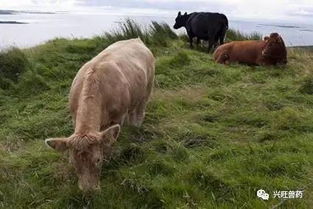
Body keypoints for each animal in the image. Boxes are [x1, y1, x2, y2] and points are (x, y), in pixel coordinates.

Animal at [44, 38, 154, 192]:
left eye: (97, 160)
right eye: (73, 162)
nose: (88, 190)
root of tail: (136, 39)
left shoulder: (117, 118)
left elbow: (108, 143)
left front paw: (108, 159)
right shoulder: (74, 118)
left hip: (148, 87)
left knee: (140, 109)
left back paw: (136, 126)